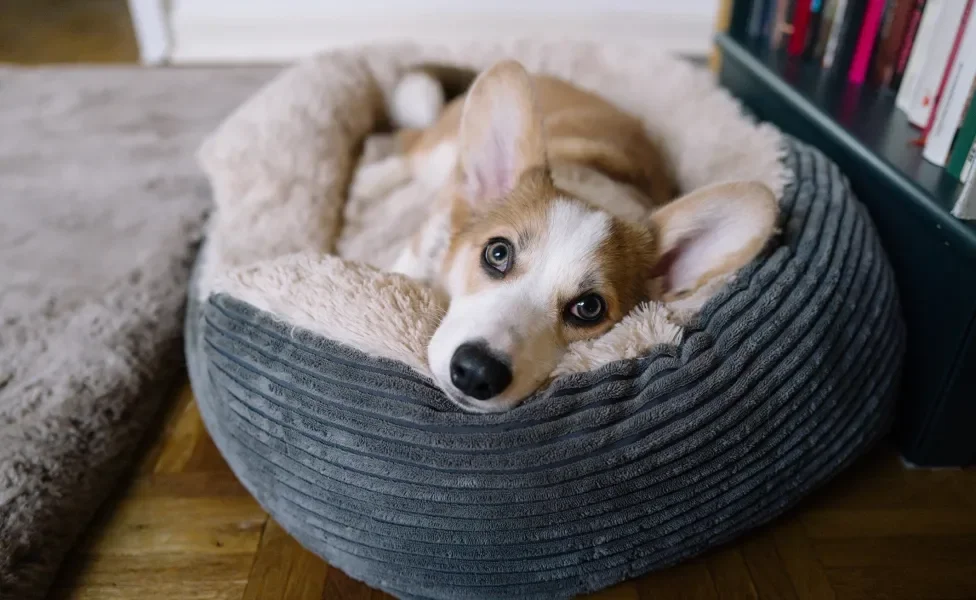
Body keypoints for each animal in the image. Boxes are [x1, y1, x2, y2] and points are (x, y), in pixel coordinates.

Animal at [352, 59, 776, 412]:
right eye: (497, 253)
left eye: (588, 308)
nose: (476, 372)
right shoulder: (433, 228)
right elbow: (409, 267)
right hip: (438, 154)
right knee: (409, 143)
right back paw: (369, 180)